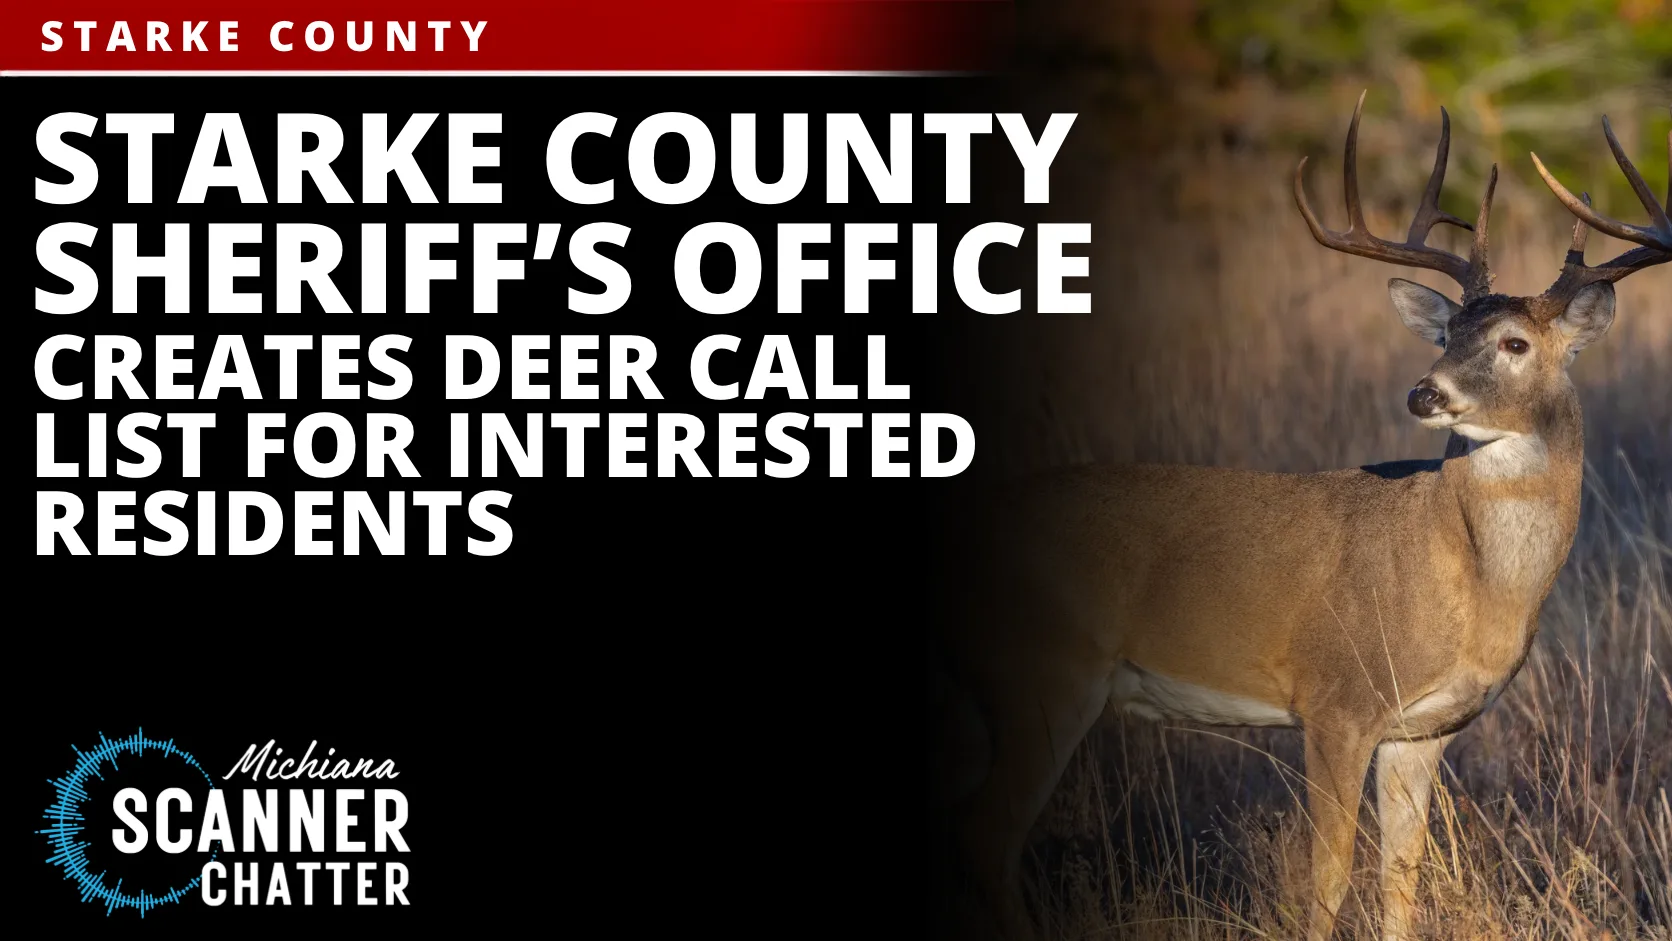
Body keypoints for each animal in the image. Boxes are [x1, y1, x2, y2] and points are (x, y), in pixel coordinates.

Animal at [929, 94, 1670, 941]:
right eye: (1448, 333)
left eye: (1515, 342)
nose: (1425, 392)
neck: (1467, 575)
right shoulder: (1335, 697)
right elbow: (1328, 876)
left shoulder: (1422, 731)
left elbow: (1401, 878)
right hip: (1042, 668)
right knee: (983, 832)